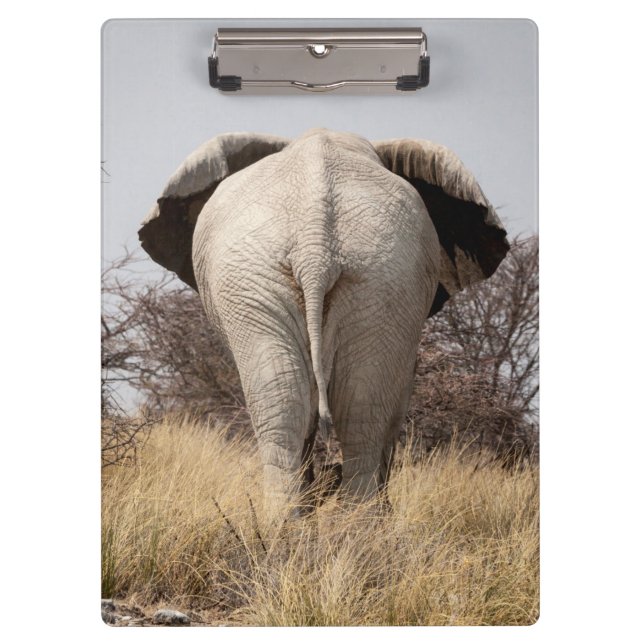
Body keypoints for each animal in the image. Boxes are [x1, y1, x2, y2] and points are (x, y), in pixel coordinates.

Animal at [139, 128, 508, 515]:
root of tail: (316, 244)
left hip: (366, 280)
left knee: (319, 405)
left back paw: (304, 523)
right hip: (302, 279)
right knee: (343, 408)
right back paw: (337, 523)